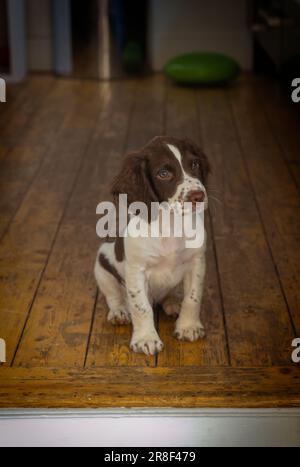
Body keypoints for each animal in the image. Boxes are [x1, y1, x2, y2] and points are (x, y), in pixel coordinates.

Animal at [95, 137, 210, 356]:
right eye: (163, 173)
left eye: (194, 164)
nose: (198, 196)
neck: (170, 225)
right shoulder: (135, 270)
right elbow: (141, 307)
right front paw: (146, 339)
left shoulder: (197, 262)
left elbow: (193, 297)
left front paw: (188, 326)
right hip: (101, 266)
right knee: (114, 296)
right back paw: (120, 312)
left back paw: (172, 302)